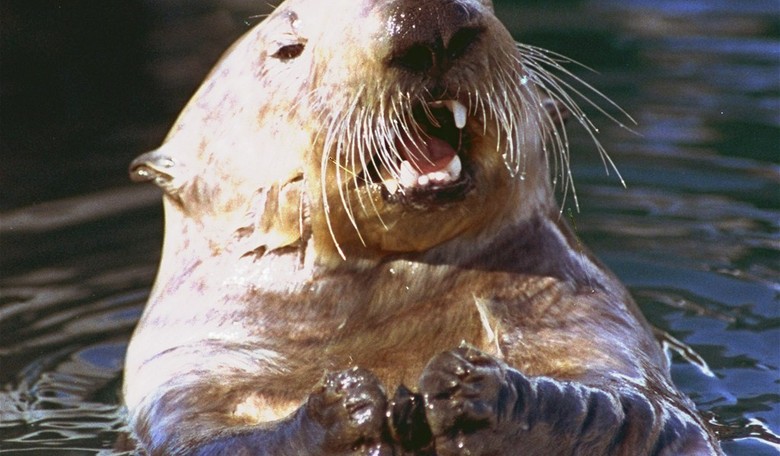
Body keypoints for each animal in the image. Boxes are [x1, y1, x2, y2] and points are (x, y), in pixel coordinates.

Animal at [124, 0, 723, 454]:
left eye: (488, 3)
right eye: (287, 48)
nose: (429, 21)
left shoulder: (594, 316)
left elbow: (636, 415)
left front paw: (471, 393)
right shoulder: (185, 370)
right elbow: (216, 443)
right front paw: (349, 409)